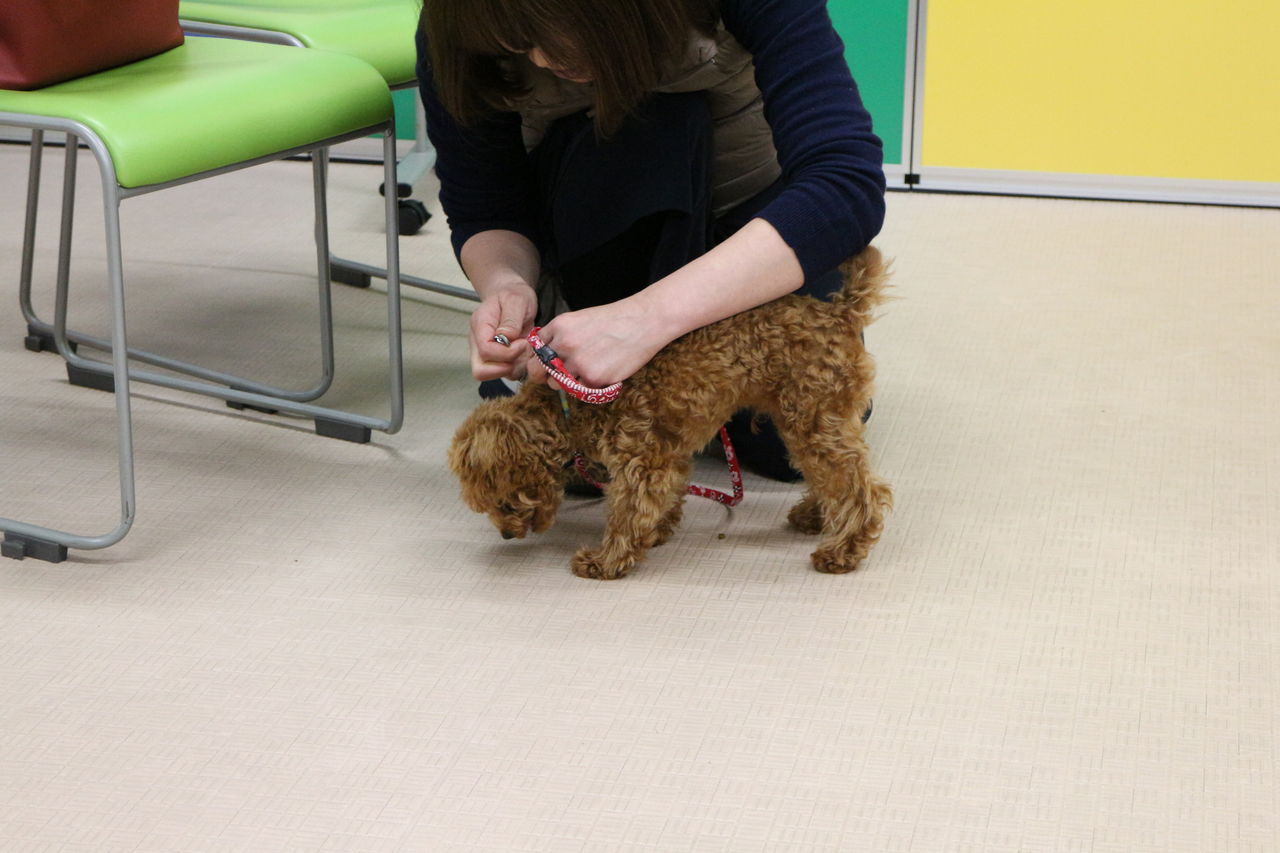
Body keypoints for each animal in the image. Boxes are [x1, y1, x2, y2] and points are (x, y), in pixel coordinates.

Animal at [448, 246, 893, 579]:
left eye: (505, 503)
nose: (507, 536)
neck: (568, 405)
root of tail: (840, 312)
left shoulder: (638, 459)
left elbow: (628, 511)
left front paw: (605, 561)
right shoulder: (668, 452)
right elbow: (664, 497)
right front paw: (658, 532)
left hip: (813, 416)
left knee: (858, 486)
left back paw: (843, 550)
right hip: (811, 419)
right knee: (832, 476)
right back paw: (815, 517)